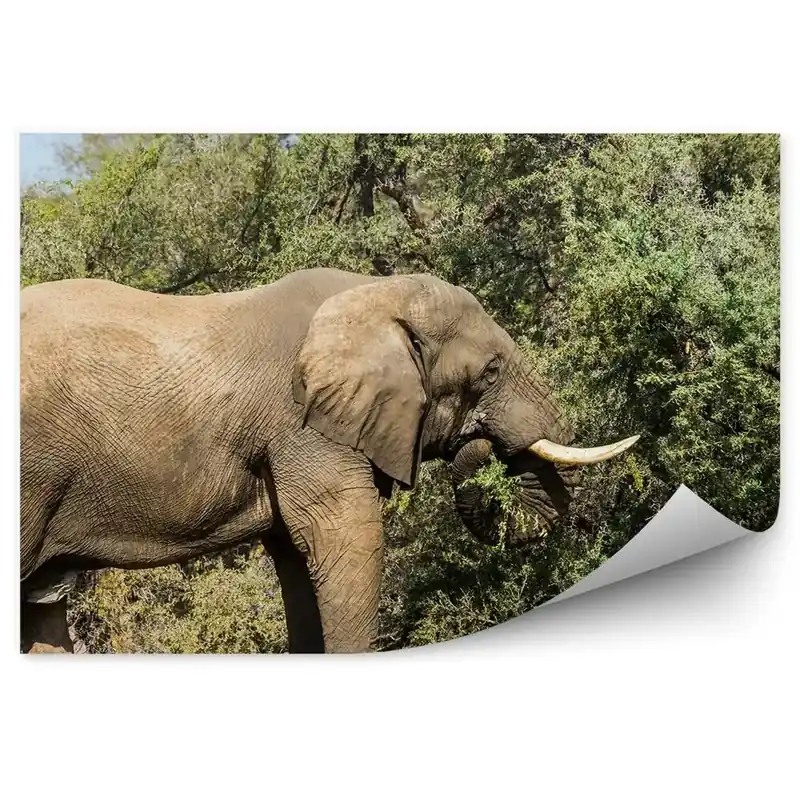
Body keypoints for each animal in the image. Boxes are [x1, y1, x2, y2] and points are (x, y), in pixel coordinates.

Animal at [20, 267, 639, 654]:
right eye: (488, 373)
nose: (478, 442)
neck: (374, 296)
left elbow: (298, 562)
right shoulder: (303, 426)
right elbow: (343, 542)